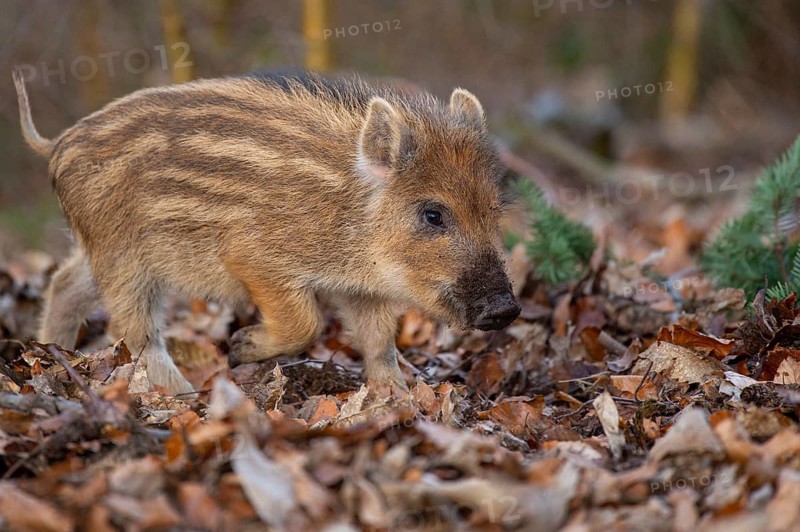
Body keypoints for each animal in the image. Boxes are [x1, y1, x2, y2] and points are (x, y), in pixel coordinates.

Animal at [13, 69, 520, 395]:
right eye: (433, 214)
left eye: (495, 209)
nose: (505, 309)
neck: (348, 215)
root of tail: (56, 145)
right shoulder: (255, 259)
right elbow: (306, 322)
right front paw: (237, 350)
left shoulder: (361, 288)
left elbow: (379, 340)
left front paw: (397, 399)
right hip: (123, 256)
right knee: (137, 334)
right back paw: (186, 399)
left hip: (100, 250)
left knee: (65, 285)